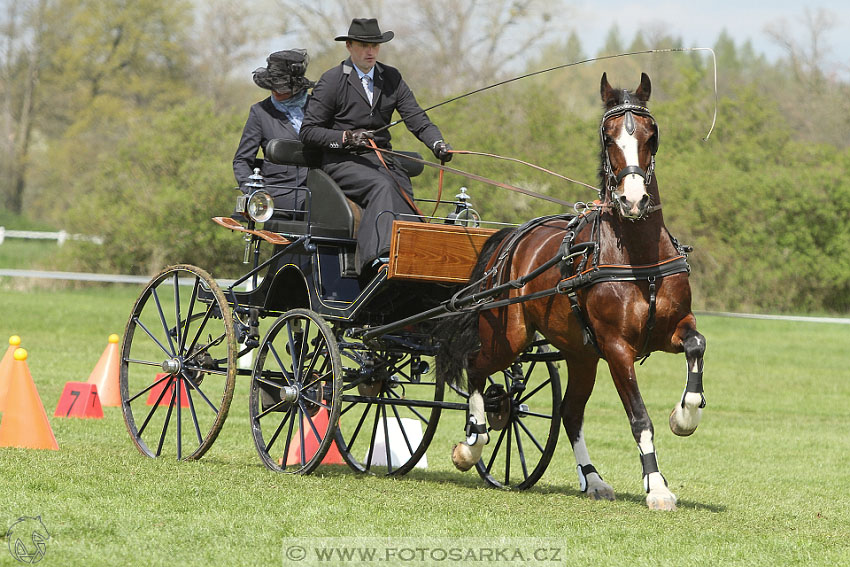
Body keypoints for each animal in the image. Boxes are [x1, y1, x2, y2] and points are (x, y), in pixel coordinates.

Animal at [438, 73, 704, 512]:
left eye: (651, 135)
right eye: (608, 137)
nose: (634, 200)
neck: (637, 256)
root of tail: (514, 237)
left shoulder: (671, 329)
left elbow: (696, 346)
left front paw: (683, 417)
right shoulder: (617, 348)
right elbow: (639, 417)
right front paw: (657, 487)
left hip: (581, 355)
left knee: (570, 411)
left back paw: (592, 479)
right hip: (510, 339)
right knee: (476, 368)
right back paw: (472, 444)